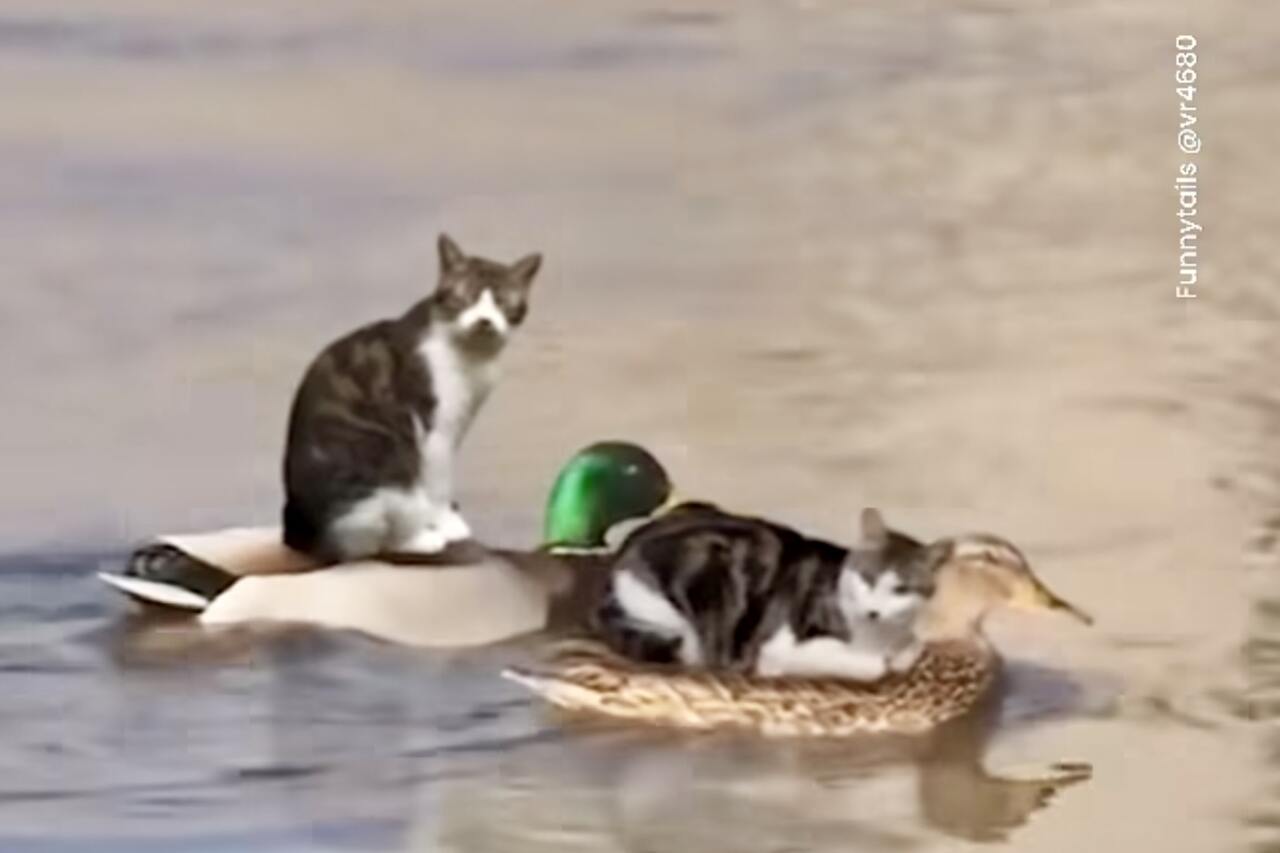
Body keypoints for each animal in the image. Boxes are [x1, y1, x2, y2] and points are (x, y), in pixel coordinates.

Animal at [280, 233, 540, 560]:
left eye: (503, 302)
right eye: (465, 297)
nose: (484, 320)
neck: (472, 356)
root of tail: (299, 533)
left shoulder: (457, 424)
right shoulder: (435, 430)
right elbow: (438, 484)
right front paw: (446, 522)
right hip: (389, 463)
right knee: (373, 541)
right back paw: (422, 538)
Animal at [588, 504, 942, 676]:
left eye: (901, 589)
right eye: (866, 577)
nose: (873, 612)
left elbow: (915, 645)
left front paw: (903, 653)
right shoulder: (781, 644)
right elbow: (871, 666)